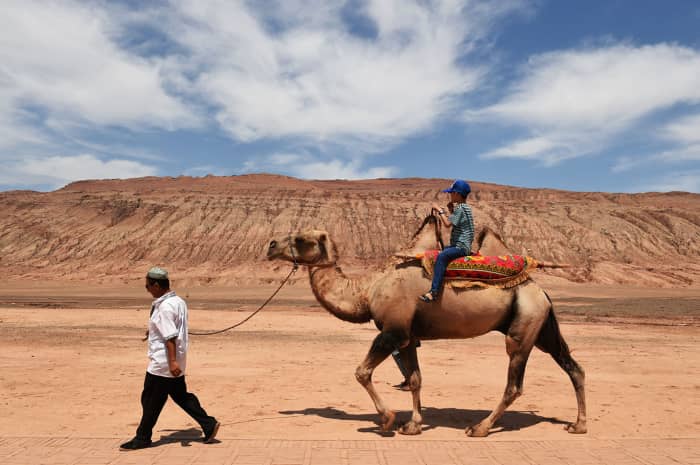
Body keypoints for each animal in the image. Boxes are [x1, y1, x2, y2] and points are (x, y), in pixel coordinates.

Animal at [266, 212, 584, 436]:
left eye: (301, 239)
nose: (270, 245)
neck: (367, 290)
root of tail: (541, 291)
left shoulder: (392, 331)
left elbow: (362, 372)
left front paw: (387, 420)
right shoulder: (408, 336)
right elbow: (416, 379)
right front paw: (413, 425)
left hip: (522, 329)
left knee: (514, 385)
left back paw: (479, 428)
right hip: (541, 326)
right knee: (572, 367)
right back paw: (578, 425)